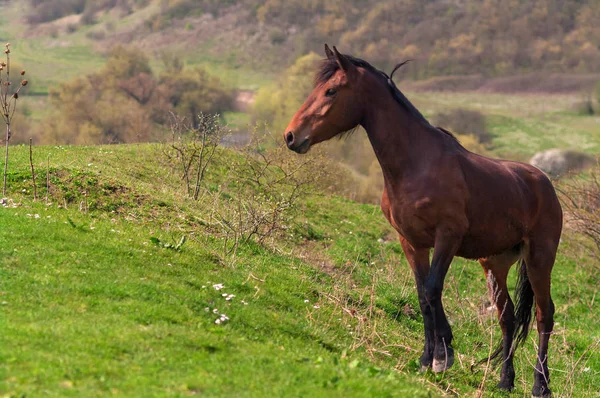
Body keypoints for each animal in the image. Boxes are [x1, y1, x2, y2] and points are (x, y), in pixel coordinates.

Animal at [284, 45, 560, 396]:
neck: (417, 164)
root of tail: (544, 182)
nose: (291, 136)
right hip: (494, 263)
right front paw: (427, 358)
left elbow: (431, 290)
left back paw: (541, 385)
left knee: (544, 315)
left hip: (540, 258)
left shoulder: (447, 237)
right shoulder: (411, 242)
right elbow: (422, 295)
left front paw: (443, 357)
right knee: (508, 316)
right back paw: (504, 381)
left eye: (331, 90)